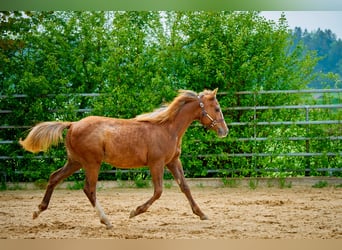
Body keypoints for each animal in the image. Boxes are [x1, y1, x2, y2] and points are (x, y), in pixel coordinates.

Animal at [18, 88, 227, 229]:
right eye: (217, 108)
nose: (225, 131)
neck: (168, 129)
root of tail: (72, 124)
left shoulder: (172, 161)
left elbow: (185, 187)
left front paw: (202, 214)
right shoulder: (156, 163)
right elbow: (158, 191)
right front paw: (134, 212)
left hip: (75, 162)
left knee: (54, 177)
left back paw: (38, 211)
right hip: (91, 163)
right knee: (89, 189)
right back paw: (107, 221)